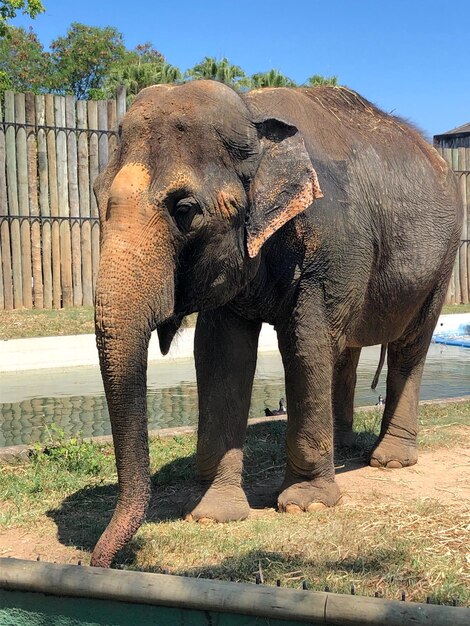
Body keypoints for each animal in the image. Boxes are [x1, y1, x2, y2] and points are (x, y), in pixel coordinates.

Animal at [90, 79, 460, 564]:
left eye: (184, 209)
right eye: (97, 196)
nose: (103, 559)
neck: (253, 115)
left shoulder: (331, 243)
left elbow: (305, 343)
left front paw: (307, 505)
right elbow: (221, 356)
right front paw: (212, 515)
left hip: (442, 260)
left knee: (407, 348)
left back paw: (391, 460)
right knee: (345, 350)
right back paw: (342, 444)